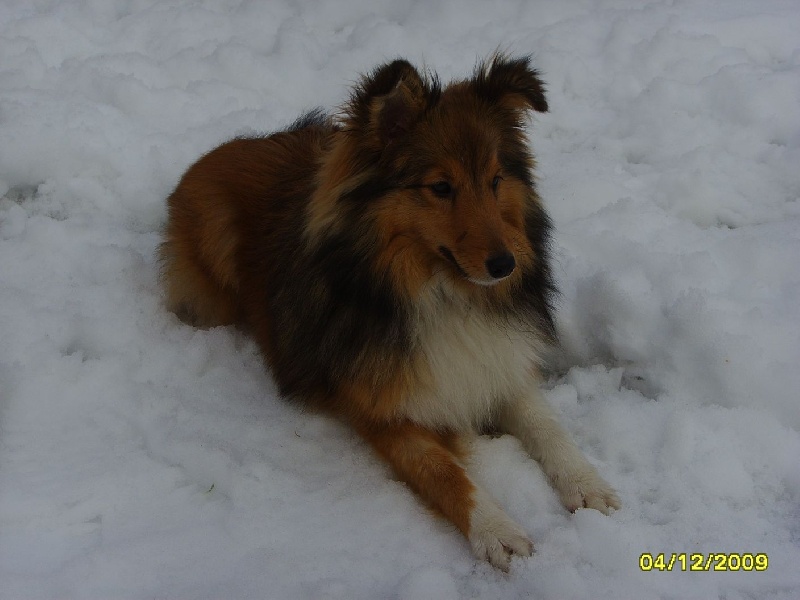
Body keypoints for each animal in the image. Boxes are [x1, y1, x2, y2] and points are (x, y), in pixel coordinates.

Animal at [159, 54, 620, 568]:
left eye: (497, 180)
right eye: (440, 186)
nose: (506, 266)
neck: (440, 292)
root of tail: (219, 151)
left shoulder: (496, 366)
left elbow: (549, 427)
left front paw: (588, 484)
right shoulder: (384, 411)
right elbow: (446, 474)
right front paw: (497, 531)